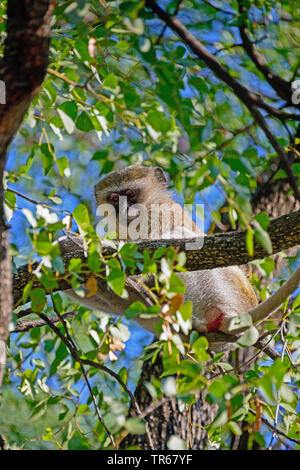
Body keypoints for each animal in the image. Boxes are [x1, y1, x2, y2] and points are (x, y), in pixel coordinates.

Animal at [59, 165, 256, 348]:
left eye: (130, 194)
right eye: (114, 199)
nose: (123, 209)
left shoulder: (161, 213)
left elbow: (149, 256)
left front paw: (83, 245)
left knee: (180, 239)